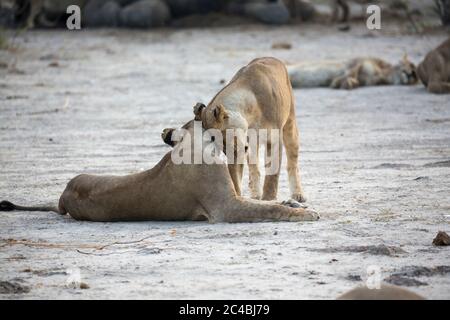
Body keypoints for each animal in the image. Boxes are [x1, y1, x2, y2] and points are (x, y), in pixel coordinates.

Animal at [0, 120, 320, 222]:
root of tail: (64, 196)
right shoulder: (225, 208)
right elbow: (269, 209)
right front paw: (305, 214)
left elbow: (268, 202)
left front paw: (296, 203)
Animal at [288, 55, 418, 89]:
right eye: (409, 64)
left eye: (416, 73)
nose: (411, 73)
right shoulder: (356, 63)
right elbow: (351, 72)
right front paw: (339, 83)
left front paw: (348, 83)